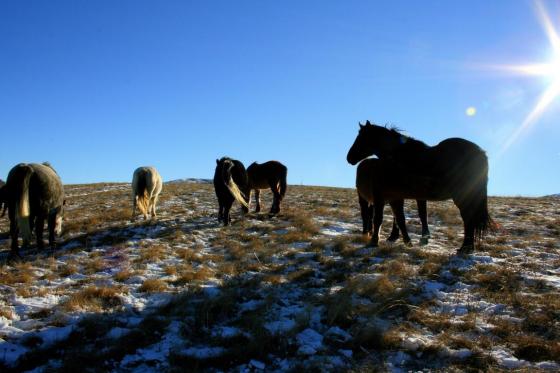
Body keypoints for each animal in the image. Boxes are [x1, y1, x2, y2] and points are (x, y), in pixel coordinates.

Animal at [346, 120, 494, 253]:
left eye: (361, 138)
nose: (349, 157)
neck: (401, 155)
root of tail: (480, 153)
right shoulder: (405, 195)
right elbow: (411, 215)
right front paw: (402, 237)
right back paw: (468, 247)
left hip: (462, 196)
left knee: (468, 218)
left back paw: (465, 248)